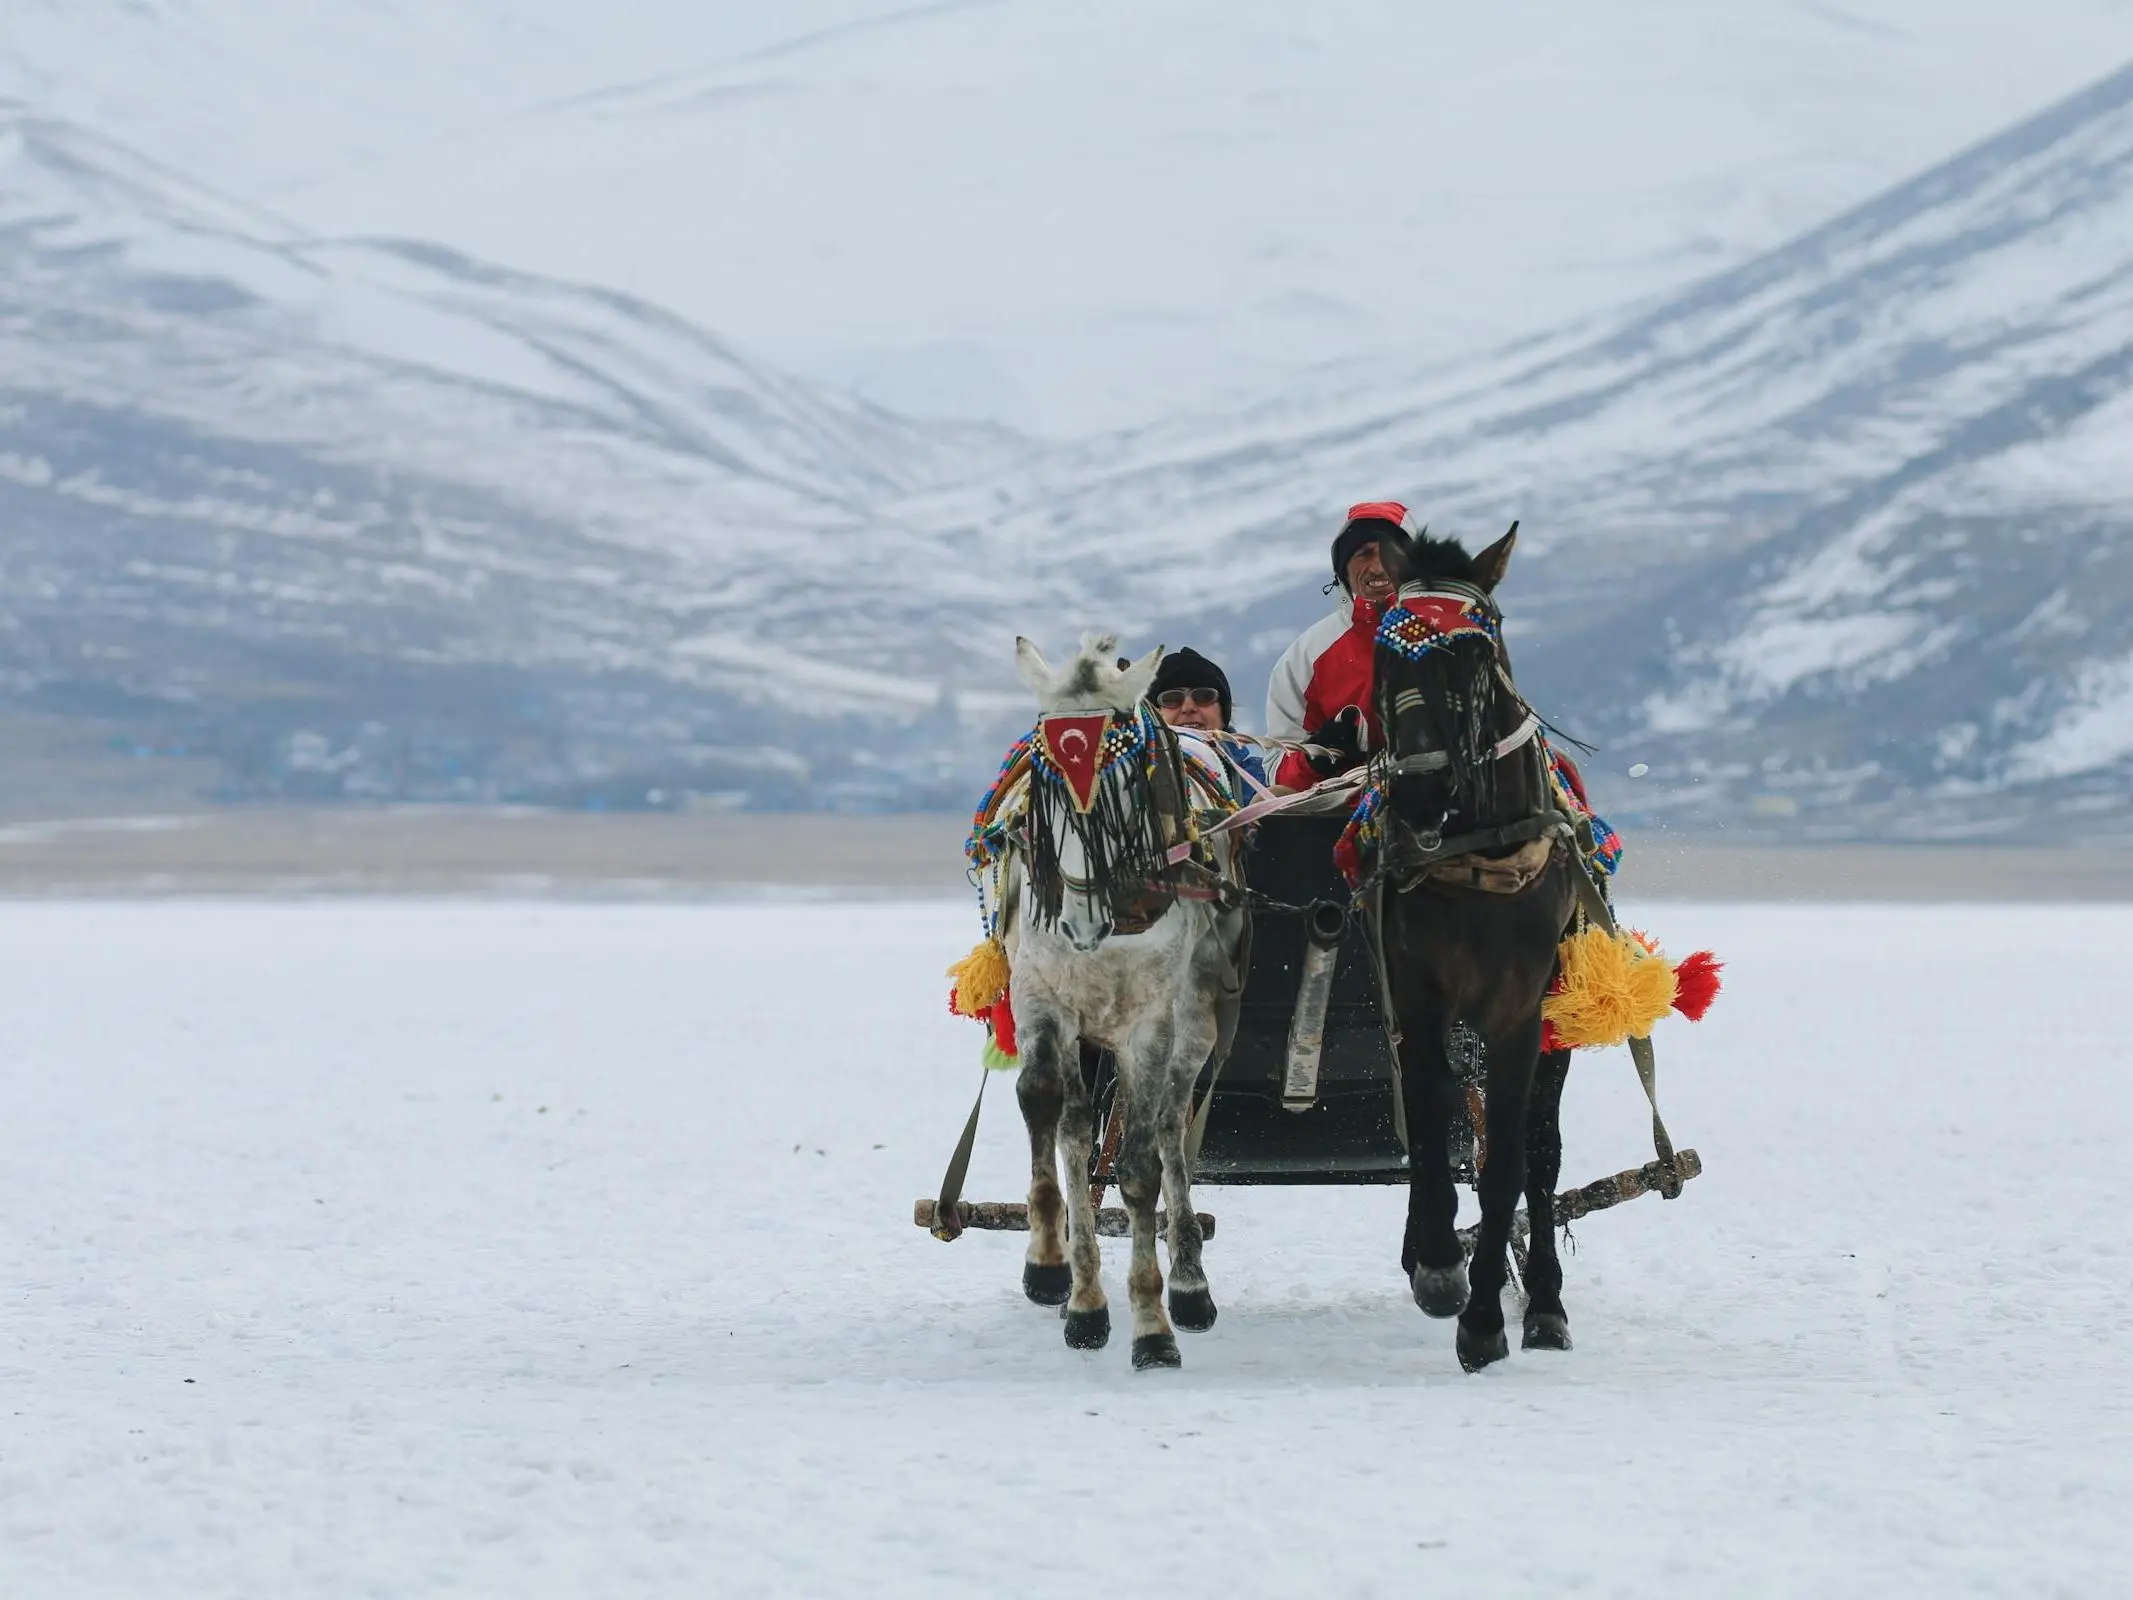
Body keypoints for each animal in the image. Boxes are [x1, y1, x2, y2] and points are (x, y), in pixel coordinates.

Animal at [1002, 631, 1245, 1373]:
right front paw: (1060, 1279)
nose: (1082, 924)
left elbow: (1139, 1168)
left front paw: (1150, 1325)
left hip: (1194, 1024)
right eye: (1044, 779)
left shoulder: (1152, 1024)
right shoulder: (1042, 996)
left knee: (1169, 1128)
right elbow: (1048, 1113)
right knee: (1081, 1131)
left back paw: (1189, 1286)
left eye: (1125, 781)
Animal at [1365, 526, 1586, 1382]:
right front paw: (1435, 1265)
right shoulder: (1415, 993)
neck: (1475, 852)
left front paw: (1486, 1319)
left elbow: (1503, 1168)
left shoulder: (1518, 1009)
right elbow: (1428, 1125)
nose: (1419, 790)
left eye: (1473, 648)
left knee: (1539, 1153)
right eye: (1384, 651)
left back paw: (1547, 1307)